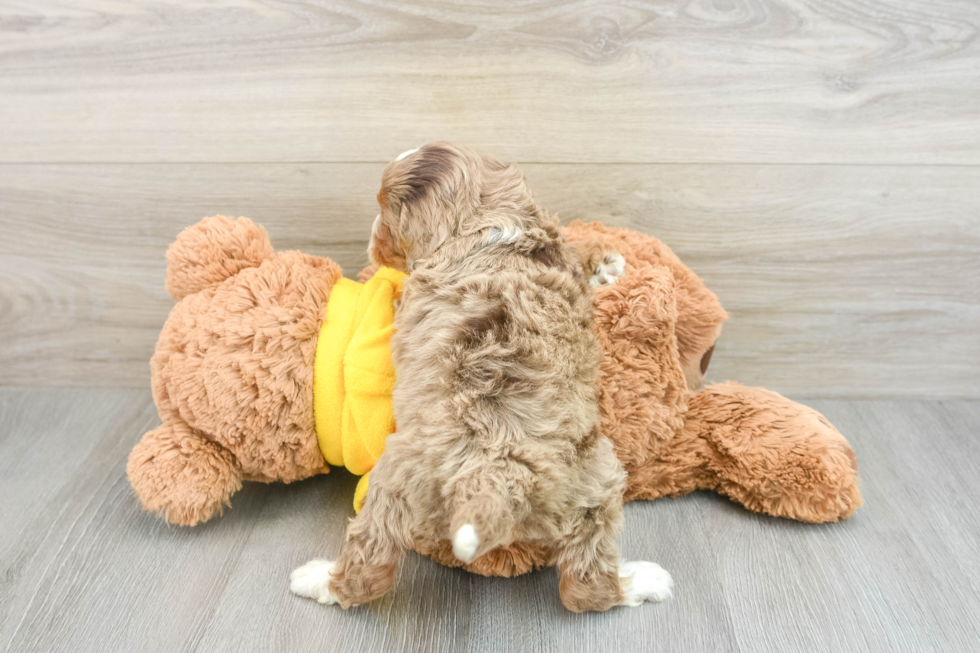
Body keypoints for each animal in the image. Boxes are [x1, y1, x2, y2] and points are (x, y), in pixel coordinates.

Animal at [290, 143, 672, 612]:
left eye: (385, 212)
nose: (371, 241)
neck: (491, 222)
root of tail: (496, 478)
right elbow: (570, 247)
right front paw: (607, 264)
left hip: (394, 485)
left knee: (367, 571)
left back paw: (316, 579)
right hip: (596, 483)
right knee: (587, 585)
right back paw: (642, 581)